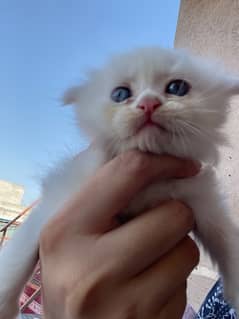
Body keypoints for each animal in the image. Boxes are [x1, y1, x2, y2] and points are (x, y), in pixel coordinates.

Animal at [0, 46, 239, 318]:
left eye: (177, 87)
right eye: (120, 94)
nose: (148, 104)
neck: (149, 185)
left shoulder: (201, 198)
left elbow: (225, 238)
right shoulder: (60, 197)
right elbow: (20, 254)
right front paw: (4, 303)